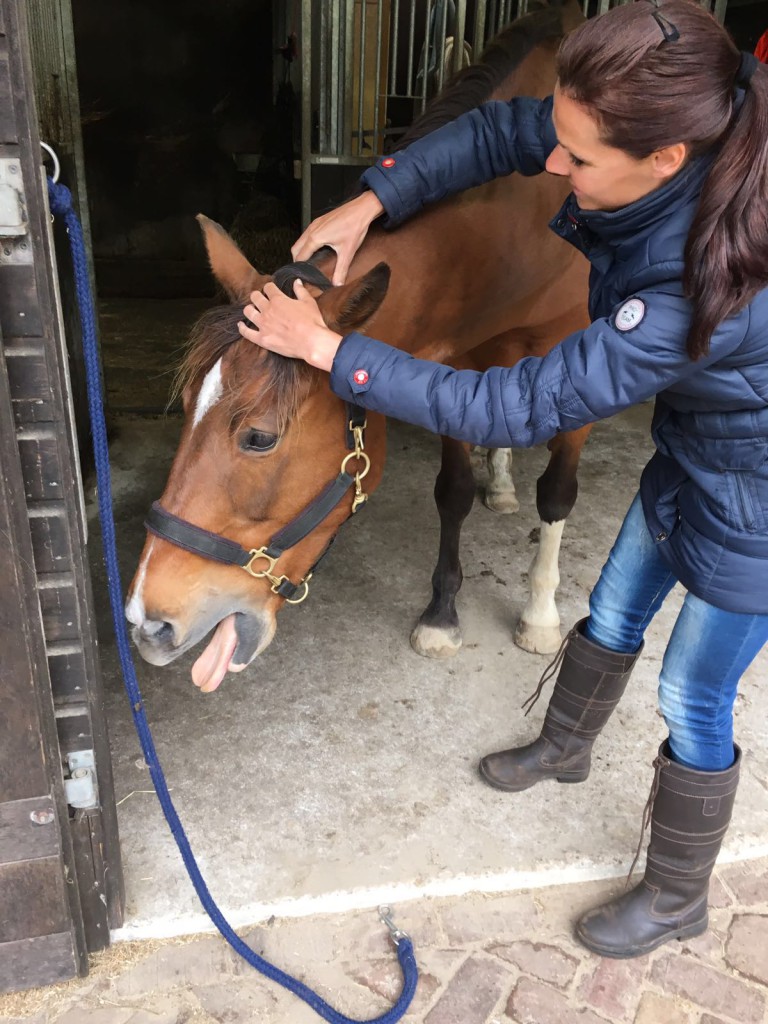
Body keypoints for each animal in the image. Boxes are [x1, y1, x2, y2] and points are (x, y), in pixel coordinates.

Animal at [126, 0, 592, 693]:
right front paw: (442, 614)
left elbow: (557, 494)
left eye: (259, 437)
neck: (523, 222)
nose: (146, 623)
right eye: (185, 408)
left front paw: (538, 614)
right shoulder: (451, 366)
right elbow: (453, 491)